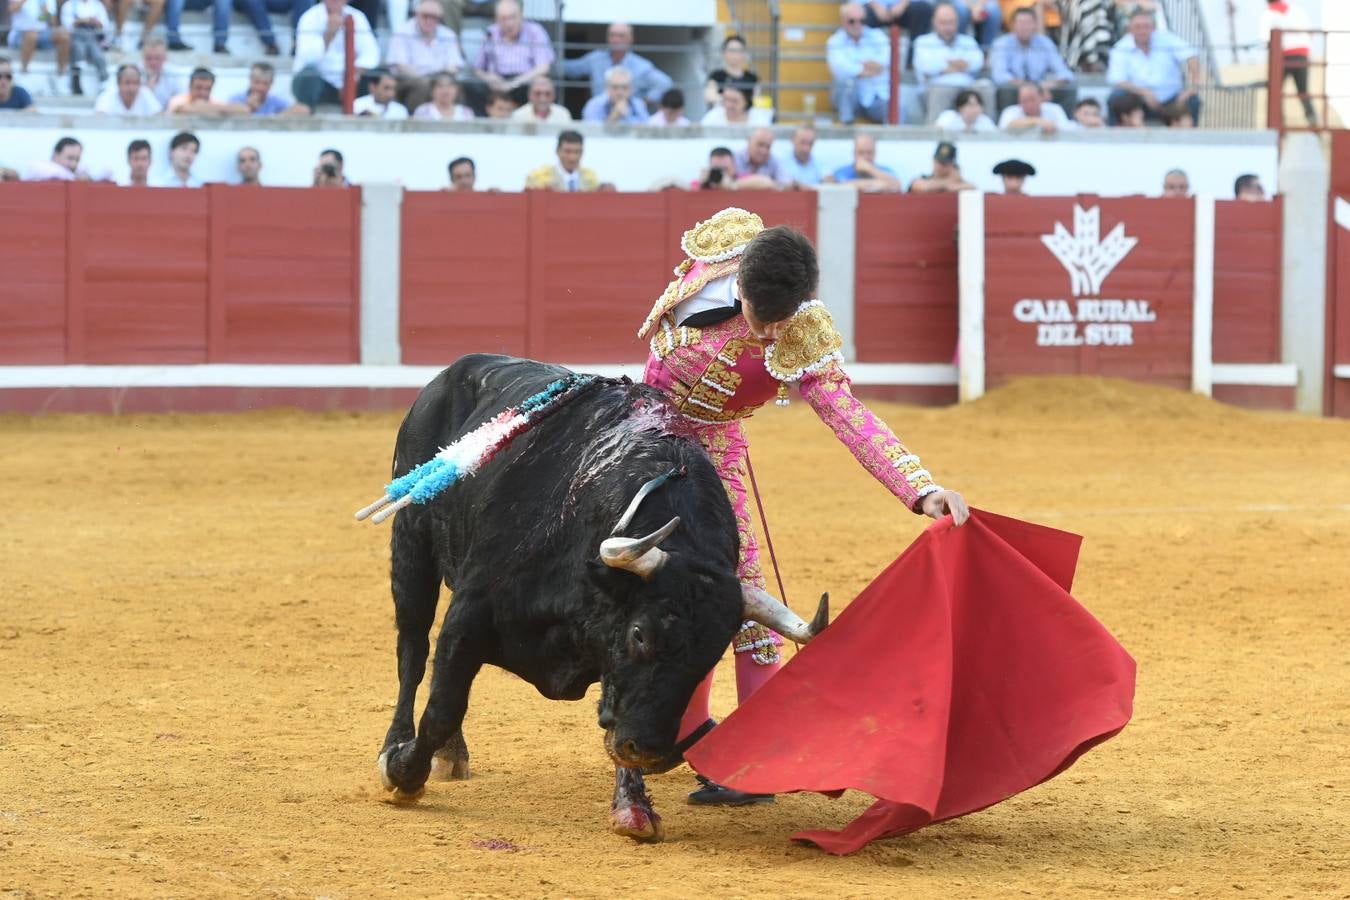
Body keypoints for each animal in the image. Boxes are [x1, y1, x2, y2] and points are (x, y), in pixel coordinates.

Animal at [375, 356, 826, 841]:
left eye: (711, 657)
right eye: (640, 634)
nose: (649, 749)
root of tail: (459, 368)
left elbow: (612, 715)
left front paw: (633, 808)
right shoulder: (470, 614)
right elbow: (442, 703)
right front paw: (403, 773)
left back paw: (452, 754)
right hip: (410, 543)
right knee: (412, 652)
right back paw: (396, 746)